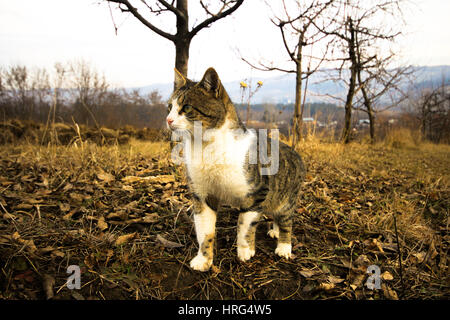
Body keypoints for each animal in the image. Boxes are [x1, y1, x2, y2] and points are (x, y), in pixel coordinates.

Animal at [166, 68, 306, 272]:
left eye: (187, 107)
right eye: (169, 106)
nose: (168, 119)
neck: (206, 148)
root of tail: (295, 152)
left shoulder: (257, 193)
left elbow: (245, 224)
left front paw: (245, 250)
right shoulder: (202, 195)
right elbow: (205, 231)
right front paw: (203, 259)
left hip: (287, 198)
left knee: (286, 219)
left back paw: (283, 246)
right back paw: (275, 230)